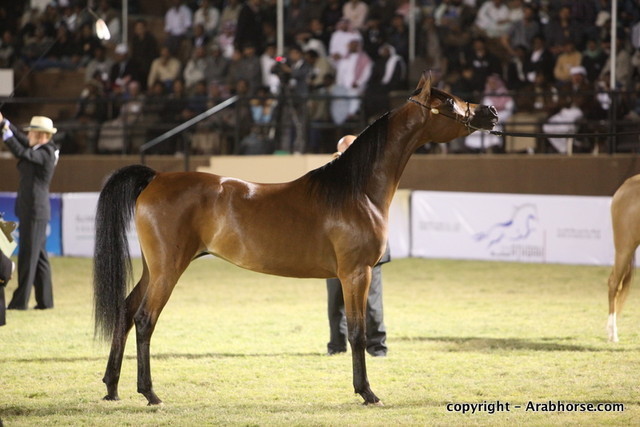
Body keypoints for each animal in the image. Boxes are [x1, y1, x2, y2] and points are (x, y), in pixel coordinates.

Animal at [93, 74, 498, 406]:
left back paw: (112, 387)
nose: (491, 111)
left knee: (125, 312)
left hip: (154, 267)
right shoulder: (356, 273)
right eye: (450, 102)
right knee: (145, 320)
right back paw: (150, 393)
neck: (356, 190)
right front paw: (367, 392)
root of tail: (156, 177)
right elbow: (357, 333)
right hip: (168, 269)